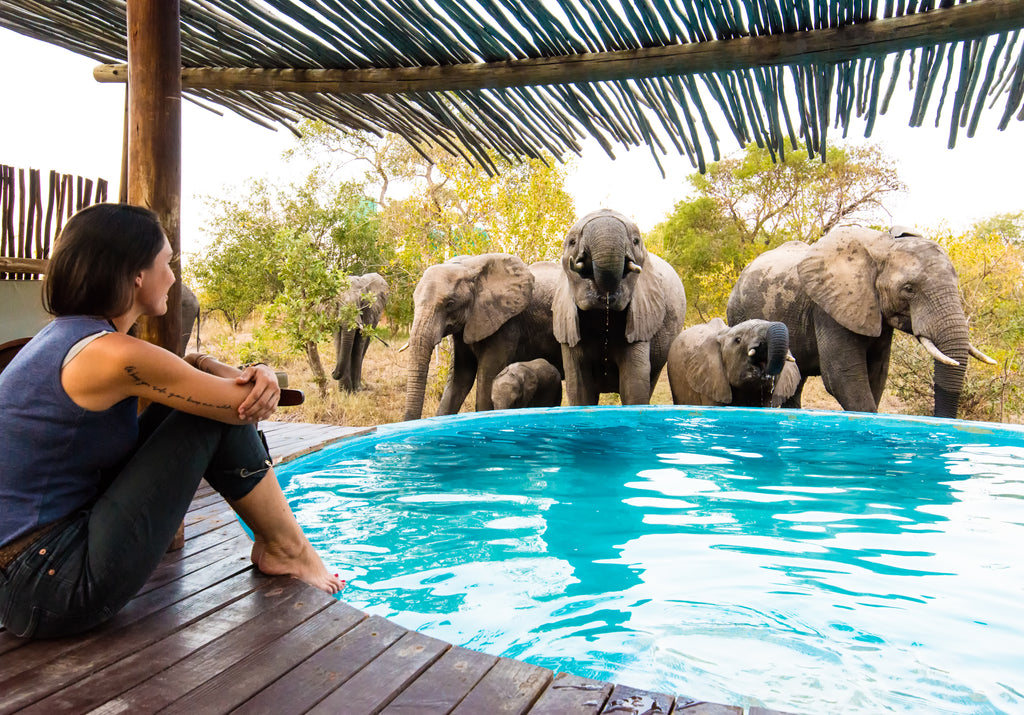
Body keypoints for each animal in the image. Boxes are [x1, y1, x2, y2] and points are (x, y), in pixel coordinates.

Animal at [726, 225, 996, 418]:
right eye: (909, 289)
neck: (882, 247)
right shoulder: (829, 308)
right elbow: (844, 377)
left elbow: (877, 374)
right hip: (739, 312)